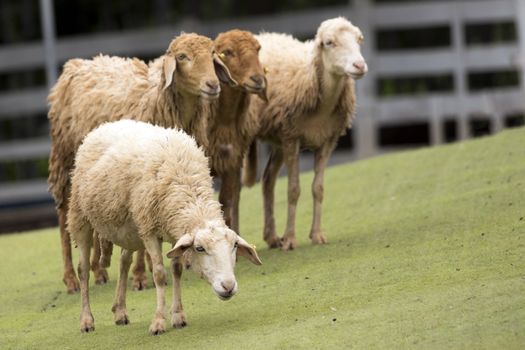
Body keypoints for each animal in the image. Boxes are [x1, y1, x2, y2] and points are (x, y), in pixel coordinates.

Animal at [46, 32, 234, 292]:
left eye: (212, 54)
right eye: (182, 57)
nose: (212, 85)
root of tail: (77, 64)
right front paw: (139, 276)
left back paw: (98, 270)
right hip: (65, 162)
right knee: (64, 217)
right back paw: (71, 278)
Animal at [67, 119, 260, 334]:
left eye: (234, 246)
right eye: (200, 248)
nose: (228, 286)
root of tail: (106, 125)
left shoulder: (175, 233)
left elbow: (176, 269)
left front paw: (178, 316)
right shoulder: (150, 231)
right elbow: (159, 274)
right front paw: (158, 321)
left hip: (131, 229)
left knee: (124, 261)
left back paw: (120, 311)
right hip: (80, 216)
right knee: (83, 269)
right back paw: (86, 320)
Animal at [244, 17, 366, 250]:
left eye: (358, 39)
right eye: (329, 42)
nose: (360, 65)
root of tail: (263, 34)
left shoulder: (327, 140)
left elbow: (318, 188)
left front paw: (316, 235)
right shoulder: (293, 139)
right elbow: (293, 190)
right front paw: (291, 239)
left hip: (279, 140)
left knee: (268, 179)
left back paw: (272, 236)